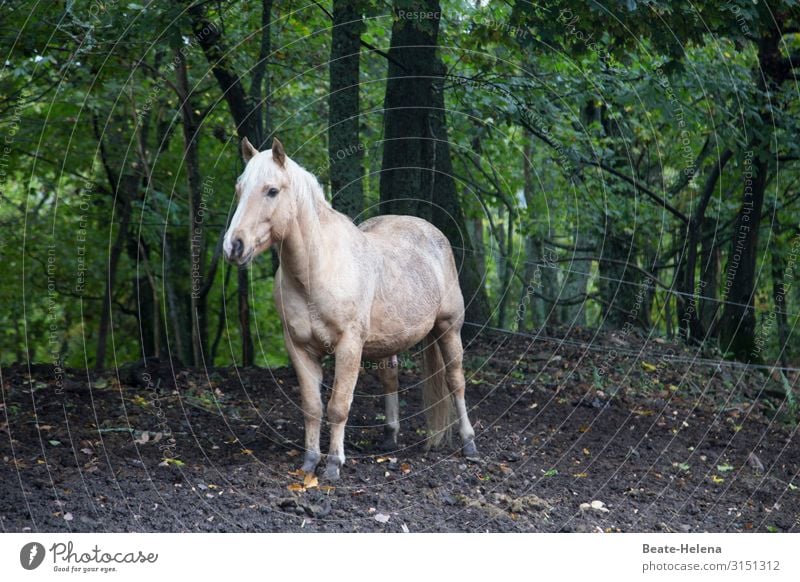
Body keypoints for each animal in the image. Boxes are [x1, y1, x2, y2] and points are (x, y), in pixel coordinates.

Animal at [222, 139, 478, 482]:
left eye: (272, 190)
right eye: (239, 188)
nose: (233, 246)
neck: (317, 269)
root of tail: (433, 233)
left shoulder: (349, 346)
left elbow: (338, 406)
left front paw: (333, 464)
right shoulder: (299, 348)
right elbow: (312, 406)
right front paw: (309, 462)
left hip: (448, 328)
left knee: (455, 381)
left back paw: (469, 444)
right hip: (389, 342)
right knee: (390, 380)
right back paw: (389, 438)